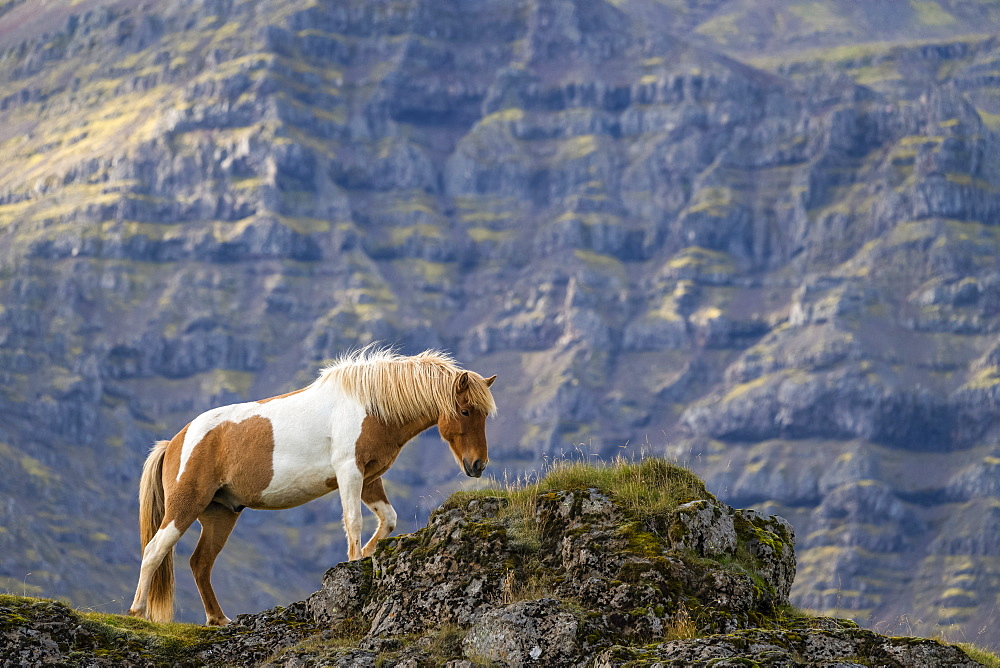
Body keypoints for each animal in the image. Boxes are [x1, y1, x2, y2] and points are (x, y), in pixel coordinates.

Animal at [129, 350, 496, 628]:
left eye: (484, 415)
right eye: (465, 411)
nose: (477, 465)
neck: (369, 406)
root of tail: (175, 442)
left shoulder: (369, 478)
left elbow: (388, 519)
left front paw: (367, 555)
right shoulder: (349, 472)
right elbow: (354, 523)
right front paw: (354, 564)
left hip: (221, 514)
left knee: (200, 564)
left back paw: (219, 620)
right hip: (185, 506)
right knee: (155, 550)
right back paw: (137, 612)